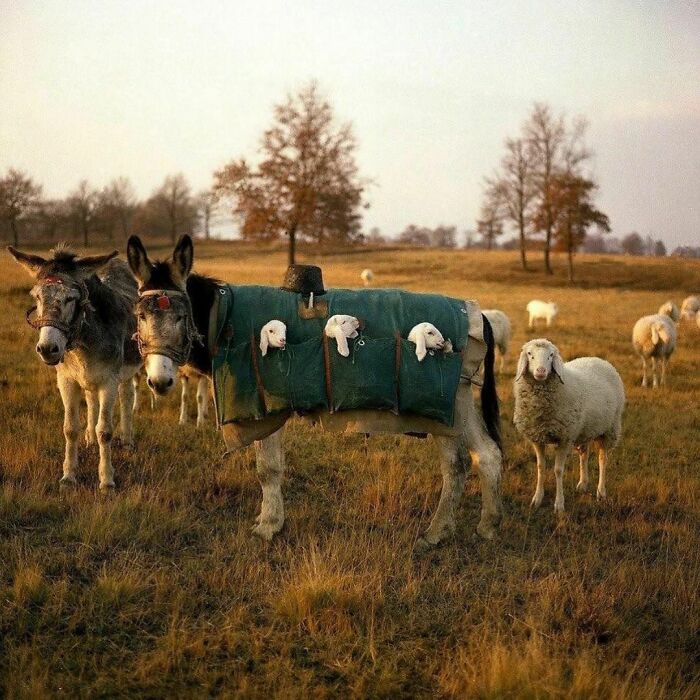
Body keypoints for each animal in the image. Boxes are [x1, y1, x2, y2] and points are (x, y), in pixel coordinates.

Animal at [513, 338, 624, 515]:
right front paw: (537, 498)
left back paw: (601, 492)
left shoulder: (565, 438)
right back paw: (583, 484)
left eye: (551, 355)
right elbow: (540, 466)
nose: (541, 371)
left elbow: (558, 470)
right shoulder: (537, 437)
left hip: (610, 429)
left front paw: (559, 505)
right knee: (584, 455)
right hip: (585, 429)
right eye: (529, 354)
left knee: (602, 459)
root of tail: (599, 359)